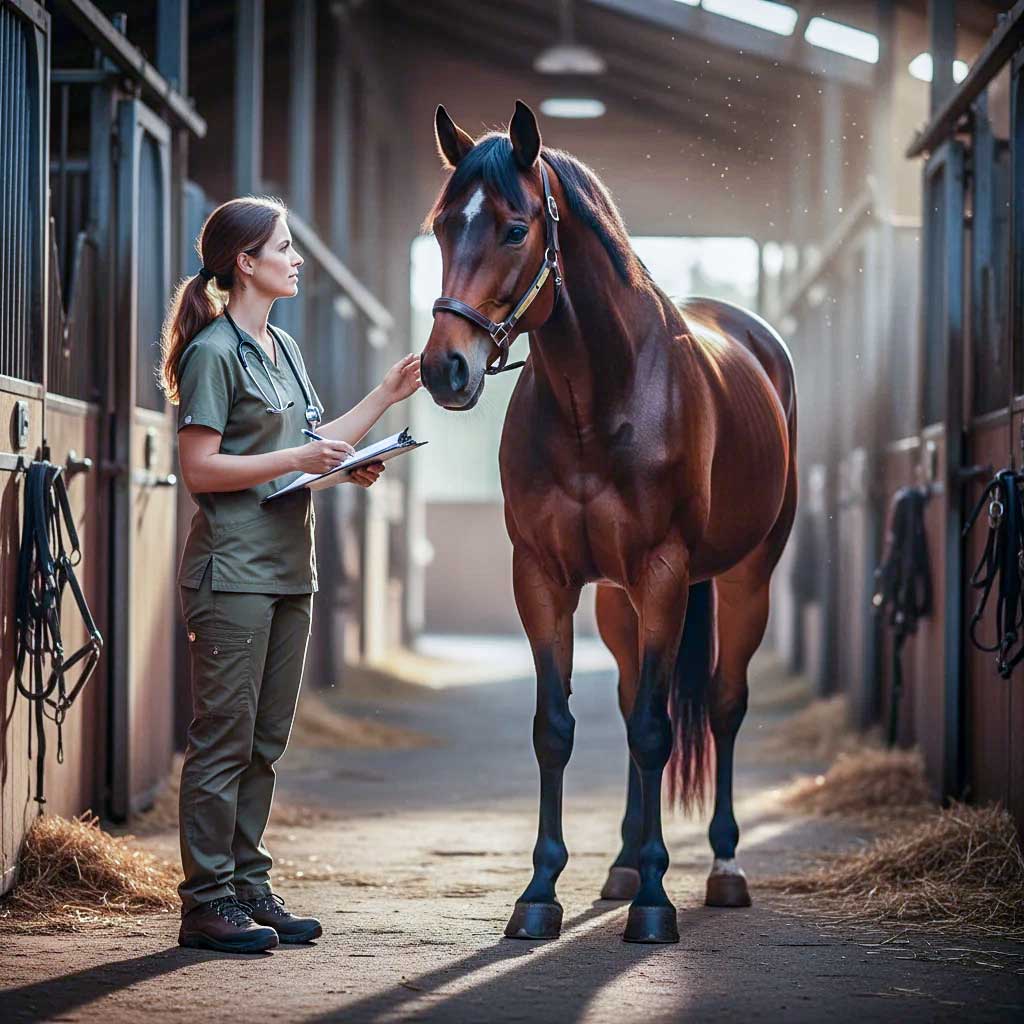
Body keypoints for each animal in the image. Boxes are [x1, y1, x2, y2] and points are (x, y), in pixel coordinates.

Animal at [420, 100, 797, 945]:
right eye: (440, 227)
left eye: (514, 229)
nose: (443, 369)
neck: (598, 400)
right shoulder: (543, 577)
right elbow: (557, 729)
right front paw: (539, 894)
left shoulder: (662, 572)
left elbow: (658, 730)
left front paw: (656, 902)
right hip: (620, 602)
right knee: (631, 703)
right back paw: (623, 865)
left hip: (745, 579)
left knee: (721, 706)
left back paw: (723, 868)